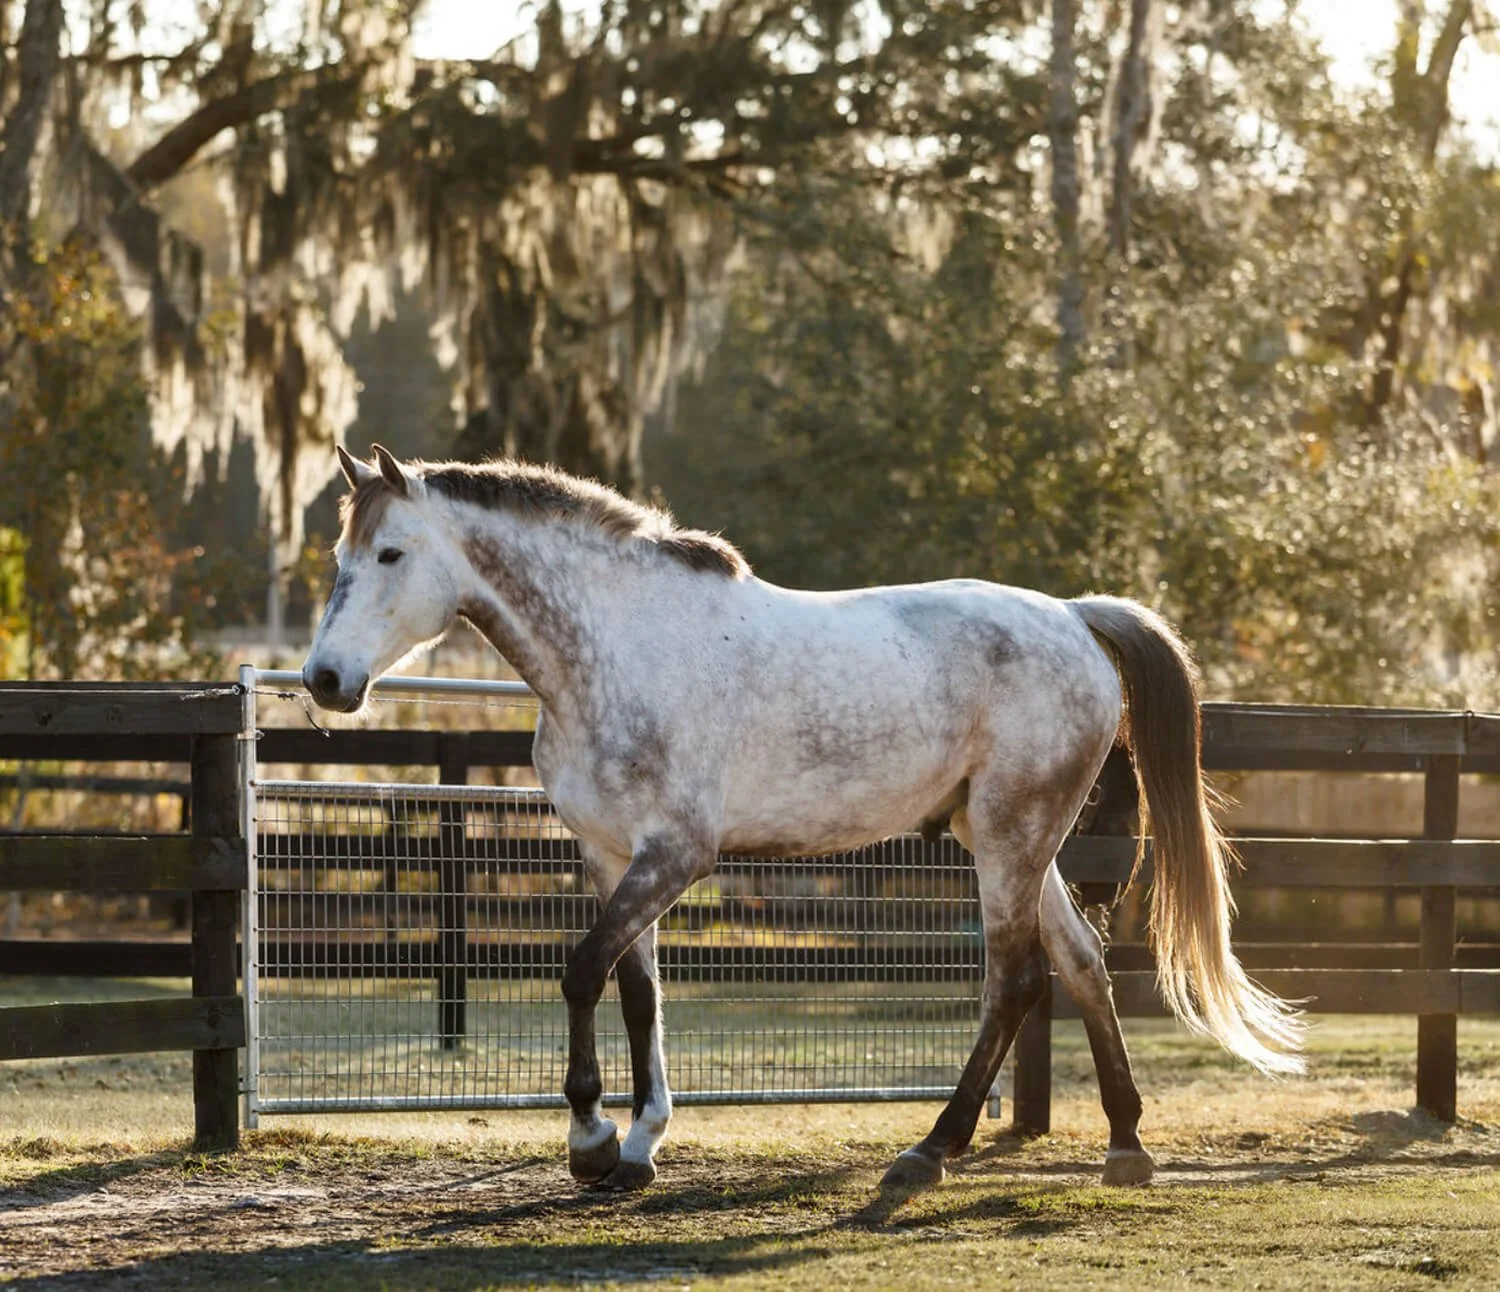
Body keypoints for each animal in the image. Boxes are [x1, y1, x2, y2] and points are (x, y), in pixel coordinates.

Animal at [301, 444, 1304, 1193]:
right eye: (340, 560)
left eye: (391, 555)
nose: (324, 680)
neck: (619, 647)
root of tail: (1073, 615)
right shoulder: (609, 855)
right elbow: (637, 993)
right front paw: (639, 1146)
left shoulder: (677, 856)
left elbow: (582, 973)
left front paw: (590, 1139)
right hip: (1007, 838)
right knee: (1084, 962)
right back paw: (1125, 1146)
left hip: (1011, 840)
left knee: (1017, 982)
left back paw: (930, 1151)